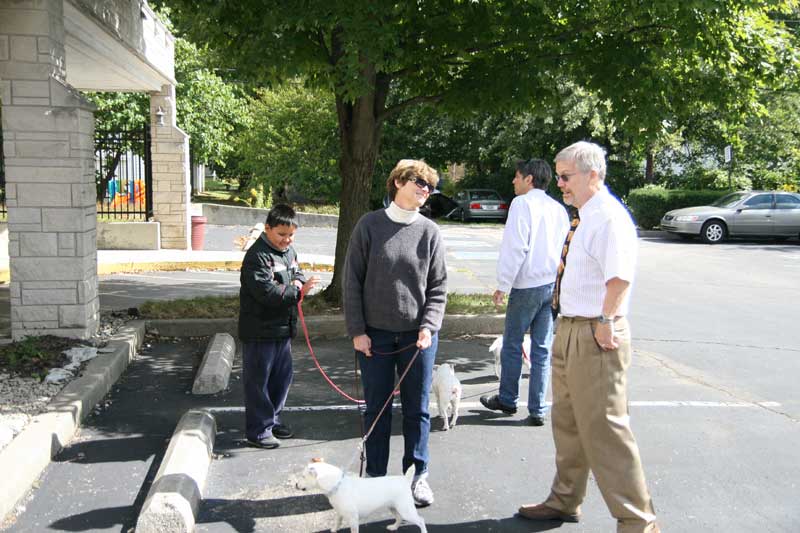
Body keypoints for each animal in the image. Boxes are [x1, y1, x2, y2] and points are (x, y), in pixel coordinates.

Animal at [294, 458, 428, 532]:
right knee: (399, 518)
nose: (295, 485)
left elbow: (353, 530)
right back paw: (394, 527)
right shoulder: (339, 512)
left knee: (421, 520)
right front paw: (334, 530)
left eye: (303, 476)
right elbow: (337, 522)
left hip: (406, 510)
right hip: (393, 507)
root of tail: (405, 480)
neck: (337, 484)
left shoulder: (353, 519)